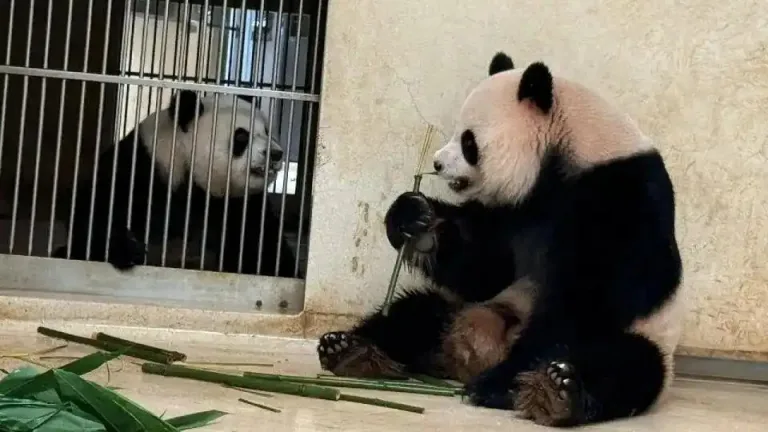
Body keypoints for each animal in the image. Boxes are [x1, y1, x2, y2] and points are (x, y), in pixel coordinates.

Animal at [54, 90, 297, 278]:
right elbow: (98, 205)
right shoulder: (143, 164)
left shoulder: (241, 204)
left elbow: (261, 239)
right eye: (241, 137)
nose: (276, 154)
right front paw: (127, 249)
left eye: (267, 132)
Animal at [319, 52, 684, 427]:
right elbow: (483, 266)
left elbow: (591, 296)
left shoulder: (623, 194)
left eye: (468, 141)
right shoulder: (513, 210)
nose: (437, 162)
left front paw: (503, 384)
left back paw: (552, 390)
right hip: (465, 310)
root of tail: (477, 354)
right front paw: (414, 218)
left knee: (624, 365)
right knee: (416, 315)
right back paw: (351, 351)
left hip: (646, 341)